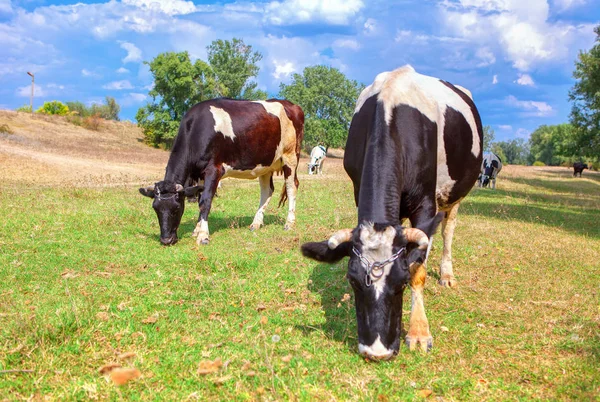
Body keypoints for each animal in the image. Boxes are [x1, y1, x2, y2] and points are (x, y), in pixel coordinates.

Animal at [138, 99, 302, 247]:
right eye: (155, 208)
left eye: (177, 208)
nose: (166, 240)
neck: (196, 128)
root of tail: (291, 105)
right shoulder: (200, 174)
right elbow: (200, 199)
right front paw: (197, 230)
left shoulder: (213, 169)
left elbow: (205, 201)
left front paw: (203, 235)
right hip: (265, 164)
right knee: (267, 191)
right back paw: (256, 223)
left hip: (290, 156)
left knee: (291, 187)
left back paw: (289, 223)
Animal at [300, 66, 482, 362]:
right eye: (353, 281)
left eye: (401, 282)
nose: (377, 352)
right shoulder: (358, 188)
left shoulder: (426, 204)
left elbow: (419, 267)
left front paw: (419, 332)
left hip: (455, 193)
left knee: (448, 229)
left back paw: (446, 274)